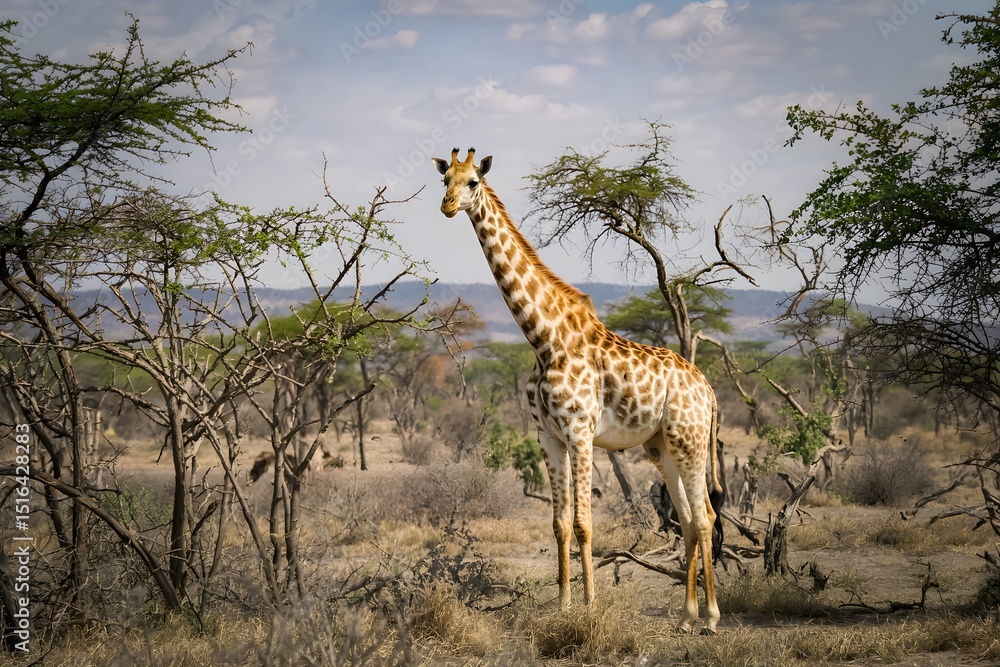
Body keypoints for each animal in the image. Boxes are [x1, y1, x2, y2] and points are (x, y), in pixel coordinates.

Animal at [432, 148, 724, 634]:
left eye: (473, 181)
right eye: (444, 180)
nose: (448, 206)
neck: (543, 337)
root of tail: (709, 390)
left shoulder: (581, 431)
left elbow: (586, 524)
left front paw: (588, 607)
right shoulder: (547, 435)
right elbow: (560, 524)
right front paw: (564, 605)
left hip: (691, 438)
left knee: (705, 517)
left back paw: (712, 618)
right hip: (660, 445)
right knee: (685, 518)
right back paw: (685, 617)